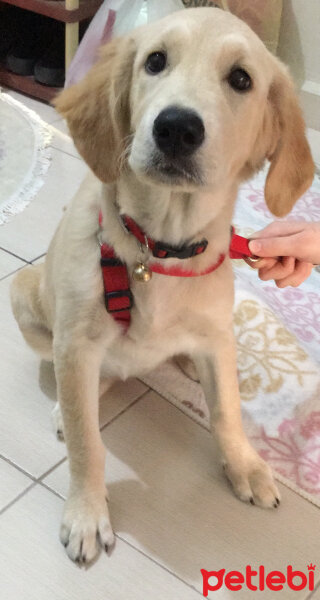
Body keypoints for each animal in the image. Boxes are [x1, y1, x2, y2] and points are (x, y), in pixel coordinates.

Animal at [10, 7, 312, 564]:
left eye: (241, 79)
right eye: (155, 61)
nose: (176, 127)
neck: (159, 248)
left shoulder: (216, 335)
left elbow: (227, 410)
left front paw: (245, 464)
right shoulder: (77, 343)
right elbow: (88, 444)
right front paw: (87, 513)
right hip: (25, 294)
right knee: (88, 386)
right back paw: (70, 405)